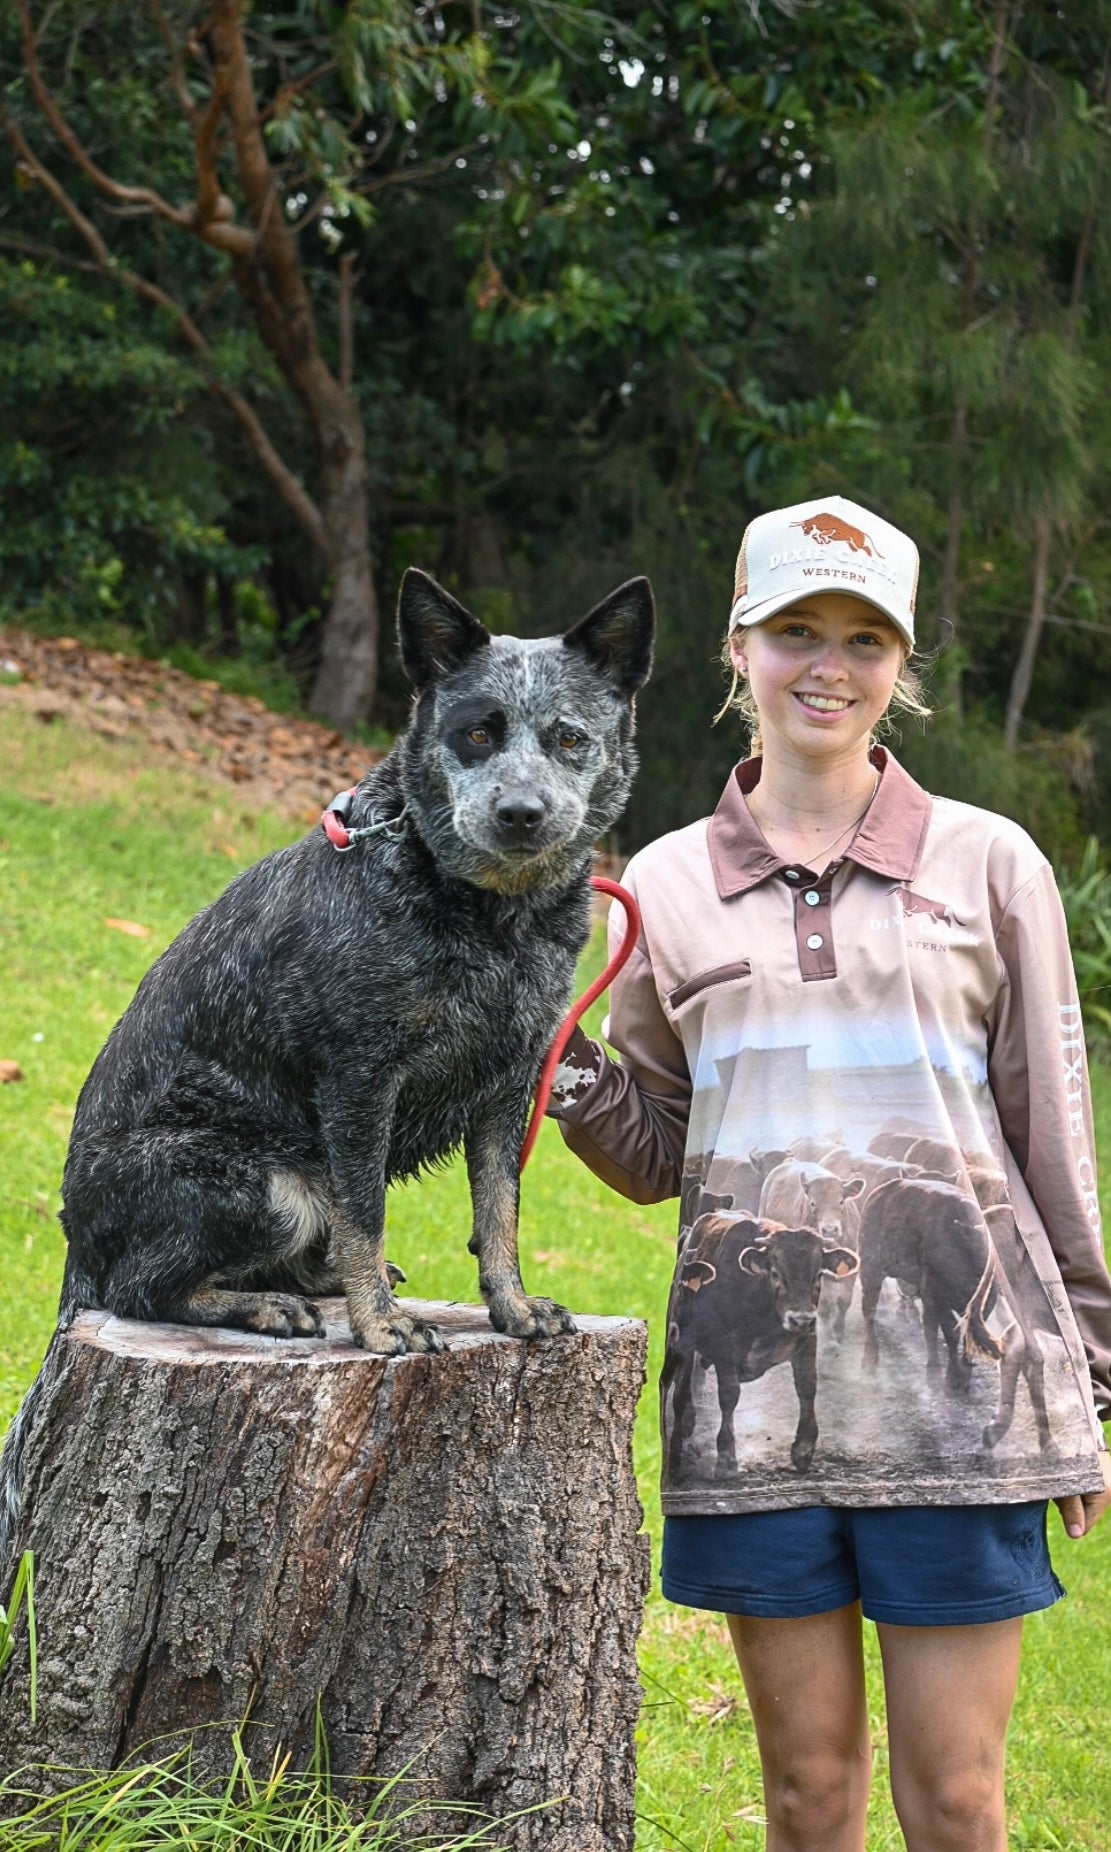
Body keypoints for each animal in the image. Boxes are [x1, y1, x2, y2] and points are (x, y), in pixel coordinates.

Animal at [0, 566, 651, 1563]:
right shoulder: (358, 1079)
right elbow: (366, 1210)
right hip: (265, 1186)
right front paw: (381, 1329)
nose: (520, 813)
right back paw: (270, 1306)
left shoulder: (510, 1086)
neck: (488, 919)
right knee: (145, 1286)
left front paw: (509, 1310)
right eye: (476, 731)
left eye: (568, 736)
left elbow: (498, 1215)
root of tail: (75, 1236)